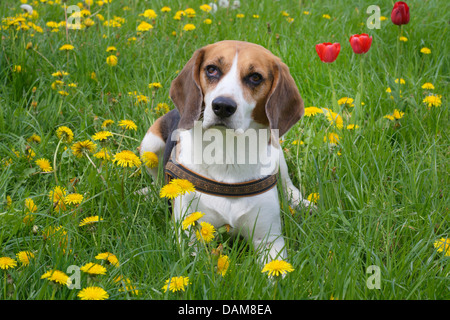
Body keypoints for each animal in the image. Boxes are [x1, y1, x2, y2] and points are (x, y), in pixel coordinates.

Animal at [139, 40, 312, 262]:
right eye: (212, 69)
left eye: (255, 77)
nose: (222, 105)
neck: (227, 151)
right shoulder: (188, 235)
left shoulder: (269, 239)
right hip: (149, 145)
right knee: (157, 180)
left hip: (276, 150)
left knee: (287, 183)